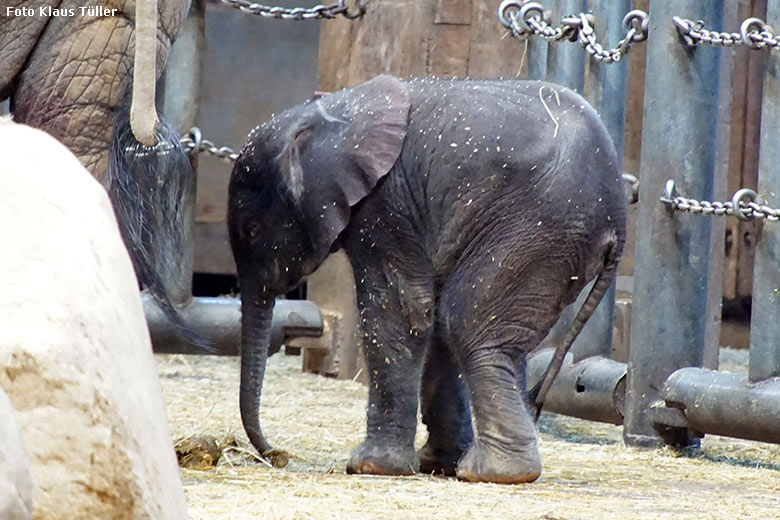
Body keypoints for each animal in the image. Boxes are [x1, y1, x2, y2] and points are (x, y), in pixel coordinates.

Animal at [229, 76, 624, 484]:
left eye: (252, 230)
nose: (275, 454)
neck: (329, 114)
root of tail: (619, 217)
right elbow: (425, 317)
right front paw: (435, 463)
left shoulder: (386, 204)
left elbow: (400, 311)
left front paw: (370, 467)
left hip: (533, 230)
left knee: (467, 324)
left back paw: (495, 473)